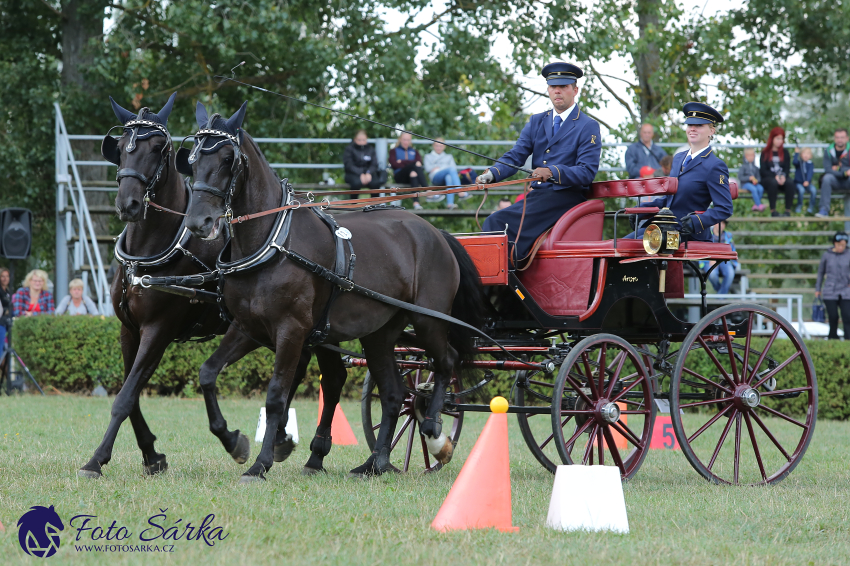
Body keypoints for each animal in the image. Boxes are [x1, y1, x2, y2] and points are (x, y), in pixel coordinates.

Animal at [178, 102, 484, 484]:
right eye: (191, 160)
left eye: (226, 159)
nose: (198, 223)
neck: (273, 241)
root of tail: (435, 232)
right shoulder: (247, 328)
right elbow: (208, 373)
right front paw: (234, 442)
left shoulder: (291, 330)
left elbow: (276, 396)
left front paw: (260, 464)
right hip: (380, 333)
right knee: (394, 393)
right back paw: (376, 462)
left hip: (428, 322)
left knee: (447, 362)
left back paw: (434, 431)